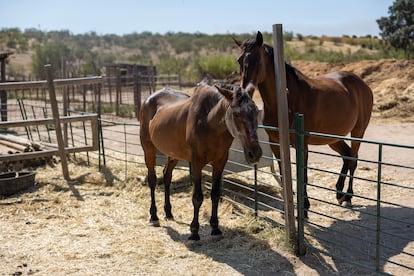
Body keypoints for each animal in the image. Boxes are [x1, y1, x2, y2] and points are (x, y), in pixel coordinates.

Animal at [139, 82, 262, 239]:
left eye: (256, 112)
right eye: (236, 114)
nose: (255, 154)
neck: (209, 122)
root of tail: (148, 100)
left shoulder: (220, 161)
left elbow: (215, 194)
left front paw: (215, 228)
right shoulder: (197, 162)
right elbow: (197, 197)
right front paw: (194, 231)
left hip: (173, 154)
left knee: (167, 177)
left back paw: (168, 212)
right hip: (148, 149)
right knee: (152, 180)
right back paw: (154, 216)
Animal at [234, 30, 374, 216]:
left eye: (257, 58)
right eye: (239, 60)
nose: (245, 91)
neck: (286, 100)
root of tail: (362, 84)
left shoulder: (303, 145)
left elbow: (303, 176)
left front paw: (305, 207)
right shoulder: (275, 144)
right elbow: (283, 175)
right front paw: (286, 209)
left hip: (358, 131)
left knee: (353, 159)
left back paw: (348, 197)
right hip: (333, 138)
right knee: (347, 156)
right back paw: (339, 193)